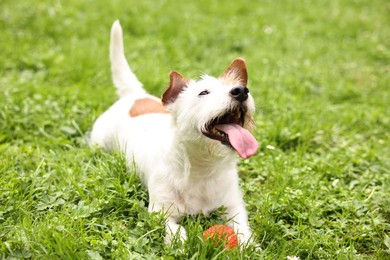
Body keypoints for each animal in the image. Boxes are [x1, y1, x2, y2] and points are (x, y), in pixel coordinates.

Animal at [89, 20, 258, 246]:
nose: (241, 91)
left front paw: (249, 245)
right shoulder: (159, 211)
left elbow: (242, 227)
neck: (202, 169)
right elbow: (175, 229)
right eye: (203, 92)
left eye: (241, 86)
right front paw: (180, 242)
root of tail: (135, 96)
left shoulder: (233, 206)